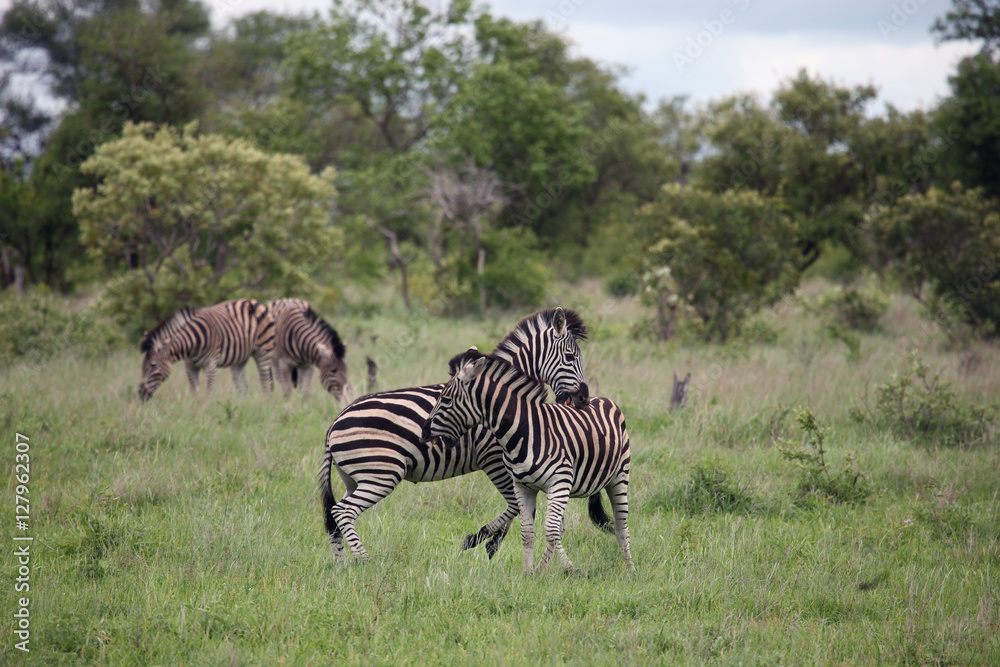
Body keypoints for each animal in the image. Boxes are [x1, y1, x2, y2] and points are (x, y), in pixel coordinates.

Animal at [138, 298, 276, 401]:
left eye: (153, 365)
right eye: (142, 366)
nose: (141, 394)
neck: (191, 344)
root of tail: (253, 301)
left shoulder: (211, 364)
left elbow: (209, 390)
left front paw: (209, 409)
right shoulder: (190, 366)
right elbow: (194, 390)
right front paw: (195, 408)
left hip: (263, 352)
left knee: (266, 382)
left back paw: (265, 403)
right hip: (239, 358)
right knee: (243, 388)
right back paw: (242, 405)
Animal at [319, 307, 596, 561]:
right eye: (570, 356)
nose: (584, 399)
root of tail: (334, 423)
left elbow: (521, 507)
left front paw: (490, 541)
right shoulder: (494, 458)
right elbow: (516, 505)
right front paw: (484, 540)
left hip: (355, 477)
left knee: (334, 514)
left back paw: (341, 564)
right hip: (381, 473)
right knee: (344, 511)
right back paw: (362, 561)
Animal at [421, 353, 635, 575]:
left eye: (446, 400)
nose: (424, 432)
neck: (523, 431)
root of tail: (602, 399)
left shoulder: (559, 481)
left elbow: (550, 531)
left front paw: (571, 569)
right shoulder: (523, 487)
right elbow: (528, 532)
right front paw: (528, 572)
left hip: (618, 477)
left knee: (621, 526)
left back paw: (630, 570)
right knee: (562, 527)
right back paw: (541, 569)